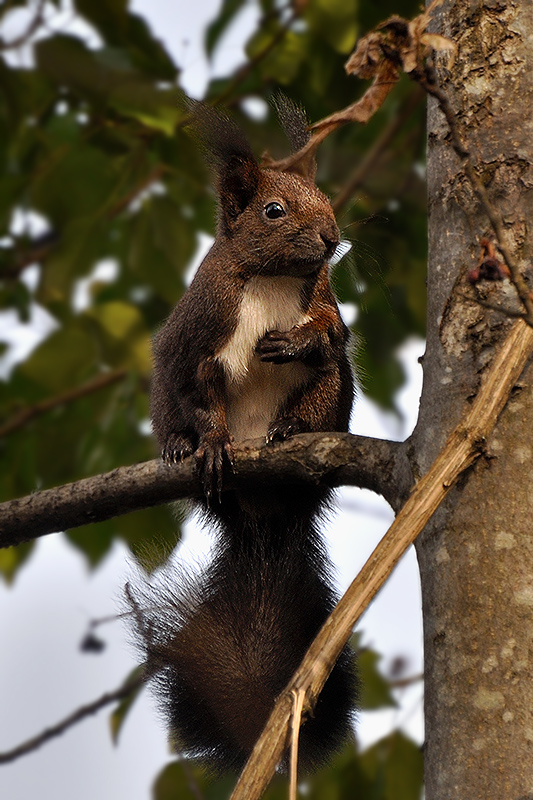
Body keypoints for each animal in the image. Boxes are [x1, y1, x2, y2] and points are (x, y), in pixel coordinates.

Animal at [127, 98, 356, 776]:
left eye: (325, 198)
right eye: (273, 210)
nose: (332, 237)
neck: (273, 281)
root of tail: (264, 516)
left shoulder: (326, 303)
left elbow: (333, 336)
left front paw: (298, 341)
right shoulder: (198, 338)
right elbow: (200, 397)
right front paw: (206, 444)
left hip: (333, 396)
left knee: (324, 386)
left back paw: (290, 429)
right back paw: (184, 449)